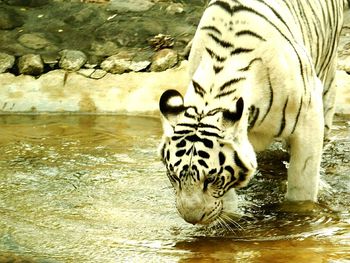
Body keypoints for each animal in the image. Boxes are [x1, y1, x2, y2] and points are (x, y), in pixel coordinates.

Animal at [159, 0, 348, 226]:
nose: (192, 219)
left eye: (210, 179)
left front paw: (299, 213)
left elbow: (302, 181)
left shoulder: (309, 117)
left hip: (327, 76)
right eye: (174, 176)